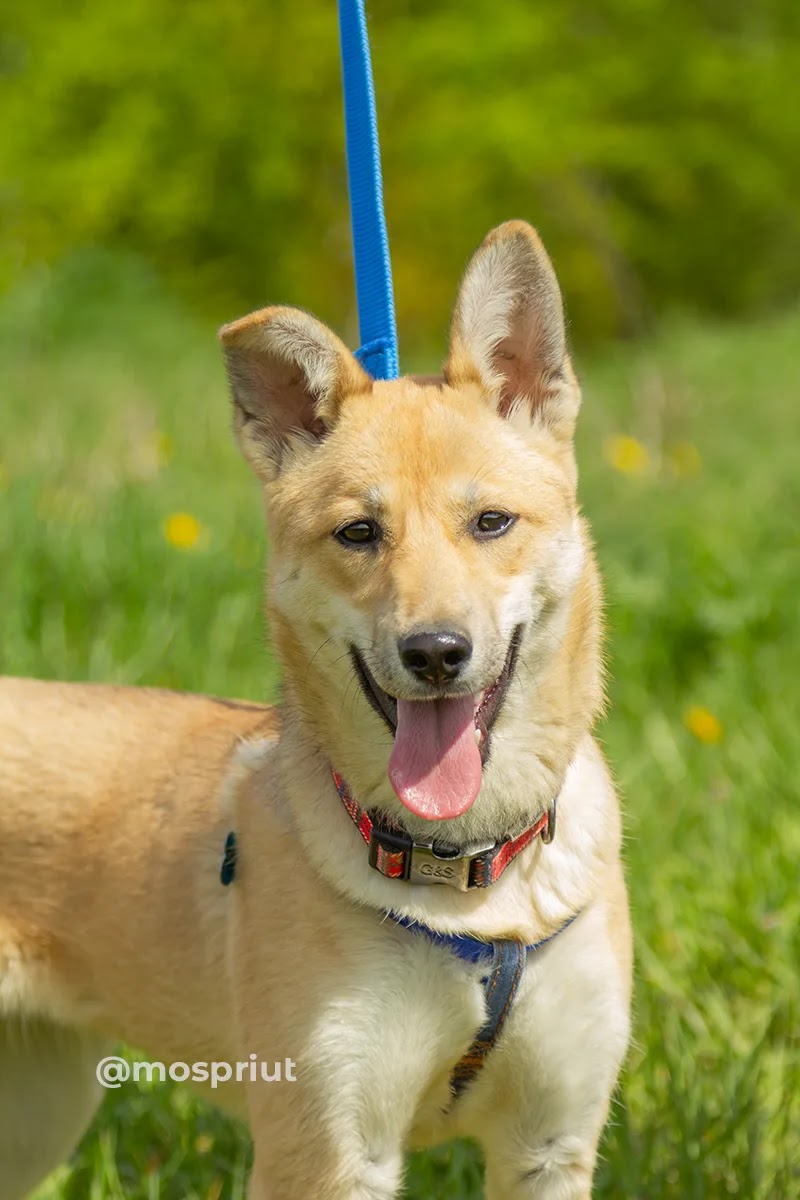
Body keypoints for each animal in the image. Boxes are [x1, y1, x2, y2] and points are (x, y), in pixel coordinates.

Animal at [3, 220, 633, 1195]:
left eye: (491, 522)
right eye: (358, 533)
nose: (436, 653)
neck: (467, 876)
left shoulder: (549, 1147)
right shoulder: (328, 1152)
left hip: (36, 1113)